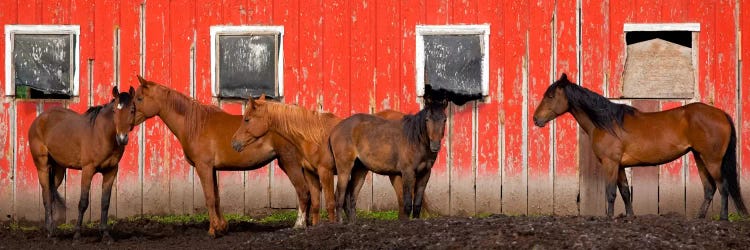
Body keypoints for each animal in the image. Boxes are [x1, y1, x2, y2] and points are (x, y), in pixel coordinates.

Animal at [28, 85, 137, 240]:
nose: (122, 138)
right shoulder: (87, 170)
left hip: (58, 170)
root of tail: (39, 119)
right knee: (46, 196)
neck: (101, 134)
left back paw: (52, 229)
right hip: (42, 166)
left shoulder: (111, 171)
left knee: (50, 194)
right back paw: (49, 232)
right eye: (115, 110)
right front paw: (77, 234)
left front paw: (105, 234)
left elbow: (105, 202)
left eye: (132, 110)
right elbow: (83, 202)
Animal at [133, 76, 312, 236]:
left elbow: (209, 197)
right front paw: (222, 227)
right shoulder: (211, 169)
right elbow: (216, 197)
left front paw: (213, 230)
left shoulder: (203, 167)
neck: (196, 125)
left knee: (302, 191)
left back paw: (299, 225)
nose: (129, 119)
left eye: (140, 98)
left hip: (289, 162)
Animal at [532, 73, 748, 220]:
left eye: (550, 96)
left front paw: (609, 218)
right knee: (710, 189)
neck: (607, 123)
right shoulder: (619, 166)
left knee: (723, 187)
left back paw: (722, 218)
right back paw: (700, 218)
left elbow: (611, 193)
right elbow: (625, 192)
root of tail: (721, 114)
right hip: (699, 157)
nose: (536, 119)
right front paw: (630, 217)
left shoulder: (610, 164)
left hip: (712, 160)